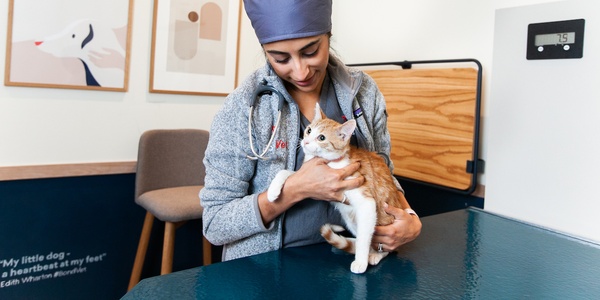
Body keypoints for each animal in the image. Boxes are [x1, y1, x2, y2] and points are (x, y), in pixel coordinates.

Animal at [268, 103, 404, 274]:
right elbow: (286, 173)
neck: (330, 163)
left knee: (380, 245)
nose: (306, 142)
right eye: (309, 130)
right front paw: (273, 191)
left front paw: (360, 261)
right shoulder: (305, 175)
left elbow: (364, 239)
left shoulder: (366, 203)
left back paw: (373, 255)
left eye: (322, 138)